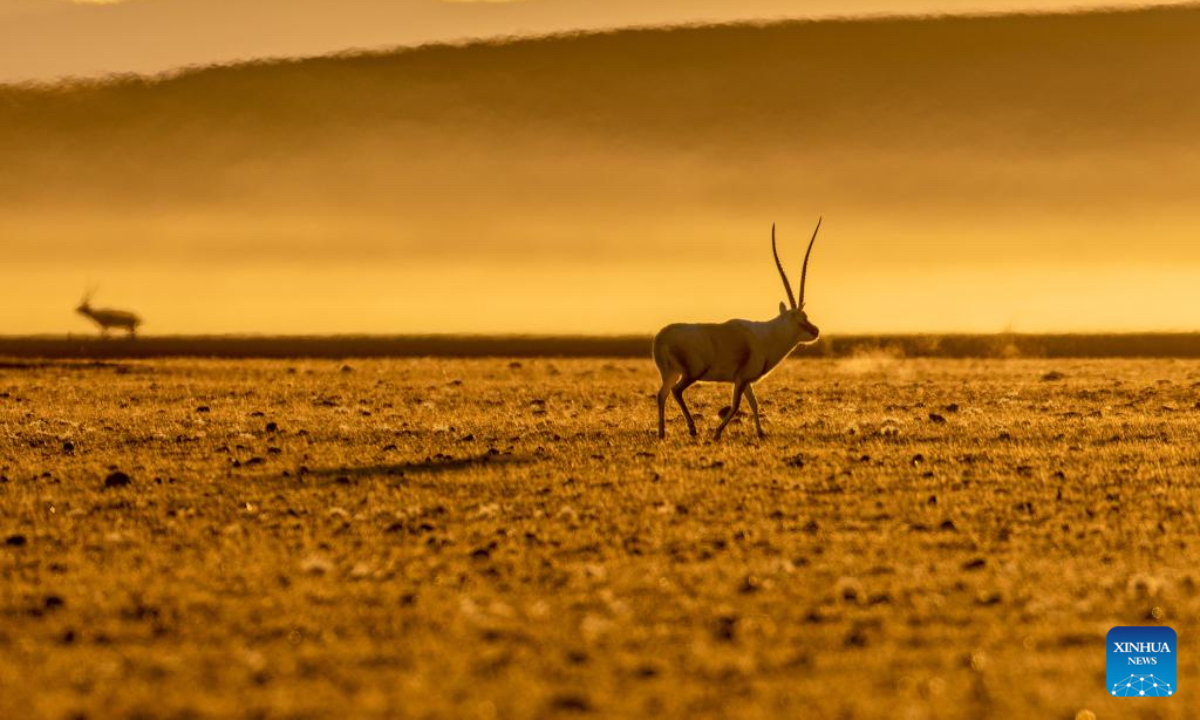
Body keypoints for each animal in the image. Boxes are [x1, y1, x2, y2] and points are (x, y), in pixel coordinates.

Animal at [653, 219, 823, 440]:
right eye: (800, 320)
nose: (816, 331)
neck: (768, 335)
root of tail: (662, 337)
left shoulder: (746, 380)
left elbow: (754, 403)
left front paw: (761, 432)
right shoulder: (741, 379)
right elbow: (735, 406)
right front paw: (717, 433)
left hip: (671, 373)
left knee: (661, 394)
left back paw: (662, 433)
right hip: (692, 373)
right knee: (676, 391)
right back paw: (692, 429)